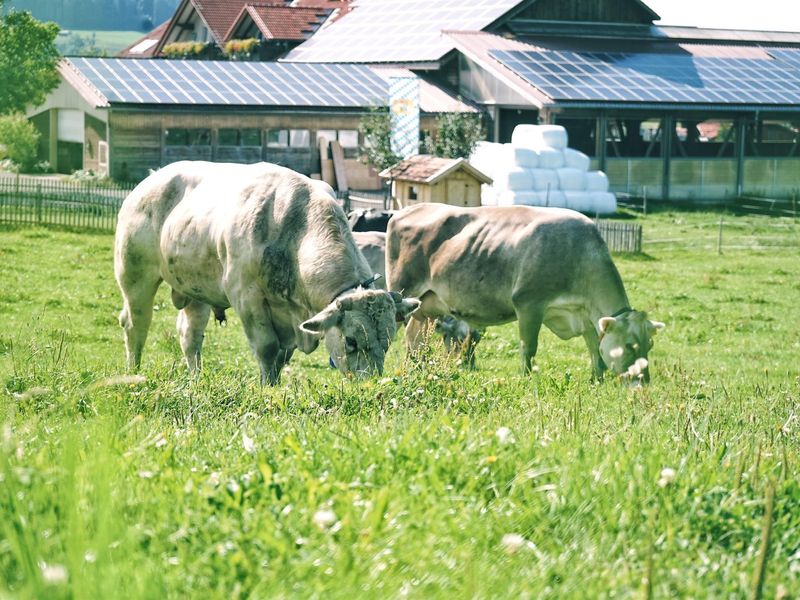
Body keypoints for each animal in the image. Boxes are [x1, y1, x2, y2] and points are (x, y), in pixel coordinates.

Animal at [117, 161, 424, 384]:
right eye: (350, 340)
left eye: (388, 341)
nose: (369, 384)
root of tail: (151, 179)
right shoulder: (247, 297)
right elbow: (267, 348)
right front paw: (266, 388)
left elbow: (282, 355)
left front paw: (274, 385)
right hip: (135, 276)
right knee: (135, 325)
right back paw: (134, 371)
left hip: (196, 289)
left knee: (189, 335)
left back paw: (196, 379)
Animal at [386, 204, 664, 382]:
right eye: (629, 345)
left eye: (649, 345)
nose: (643, 381)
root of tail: (407, 209)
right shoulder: (529, 303)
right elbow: (529, 347)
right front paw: (527, 379)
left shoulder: (585, 315)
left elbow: (596, 350)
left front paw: (597, 381)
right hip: (402, 290)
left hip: (426, 305)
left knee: (414, 335)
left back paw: (416, 368)